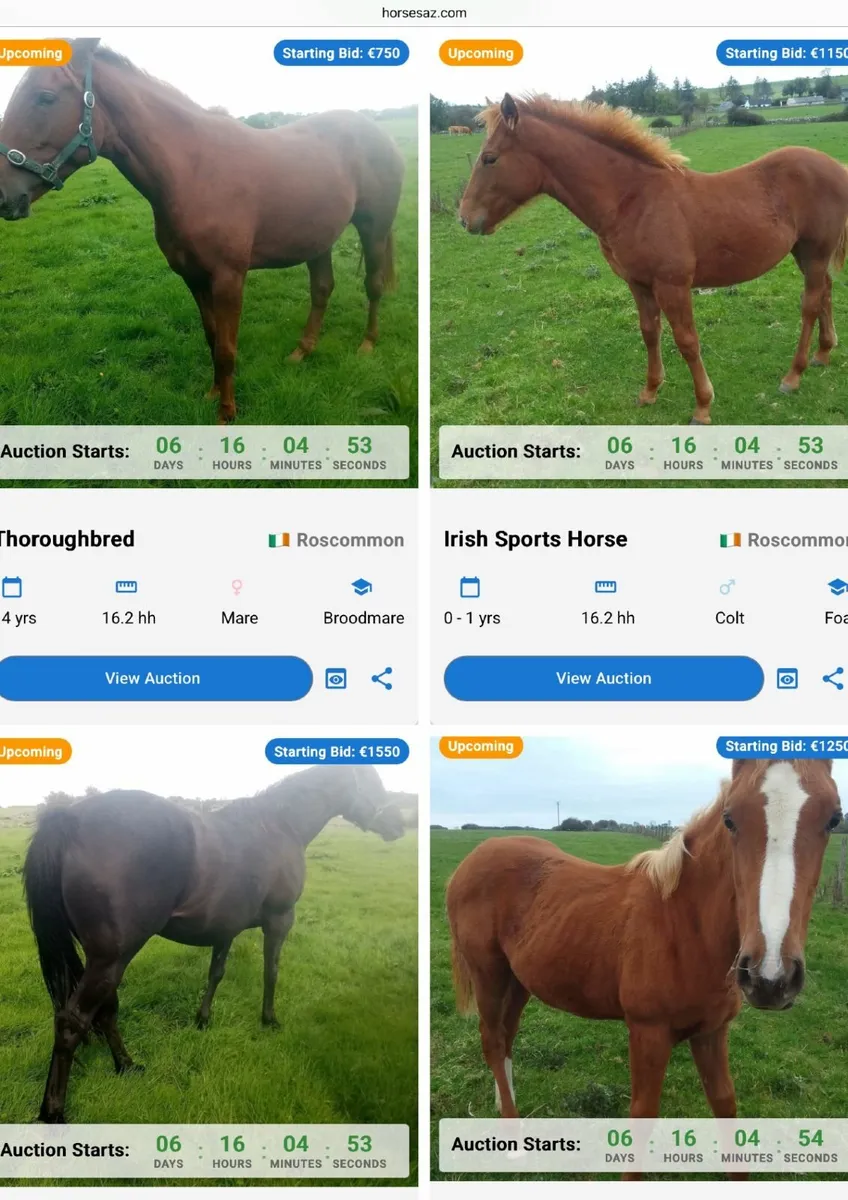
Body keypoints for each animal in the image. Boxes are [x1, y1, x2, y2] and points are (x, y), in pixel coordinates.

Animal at [0, 38, 404, 423]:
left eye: (45, 97)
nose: (5, 196)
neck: (194, 171)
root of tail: (379, 133)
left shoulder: (228, 278)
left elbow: (226, 348)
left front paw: (227, 413)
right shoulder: (193, 276)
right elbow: (212, 339)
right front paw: (212, 394)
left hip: (374, 228)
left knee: (373, 285)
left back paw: (367, 345)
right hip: (318, 239)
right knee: (322, 289)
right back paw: (302, 351)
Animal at [22, 764, 406, 1123]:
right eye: (372, 781)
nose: (399, 824)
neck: (279, 825)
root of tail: (71, 819)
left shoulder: (225, 928)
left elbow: (216, 972)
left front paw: (203, 1019)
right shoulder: (280, 919)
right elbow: (271, 972)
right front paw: (269, 1020)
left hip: (105, 958)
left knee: (105, 1011)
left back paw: (127, 1066)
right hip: (112, 957)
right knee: (73, 1021)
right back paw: (54, 1110)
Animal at [446, 759, 841, 1179]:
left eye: (834, 818)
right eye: (730, 818)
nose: (770, 977)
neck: (683, 924)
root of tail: (472, 859)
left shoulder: (712, 1032)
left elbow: (725, 1106)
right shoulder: (647, 1032)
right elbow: (642, 1117)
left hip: (519, 980)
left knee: (506, 1038)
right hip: (488, 973)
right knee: (492, 1039)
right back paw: (512, 1136)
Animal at [458, 93, 848, 425]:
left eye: (490, 158)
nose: (465, 219)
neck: (633, 199)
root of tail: (836, 167)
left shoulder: (673, 285)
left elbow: (687, 341)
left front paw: (702, 406)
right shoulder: (638, 283)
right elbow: (649, 332)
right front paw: (649, 391)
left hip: (814, 252)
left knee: (810, 303)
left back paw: (793, 376)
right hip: (806, 254)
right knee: (826, 291)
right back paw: (823, 353)